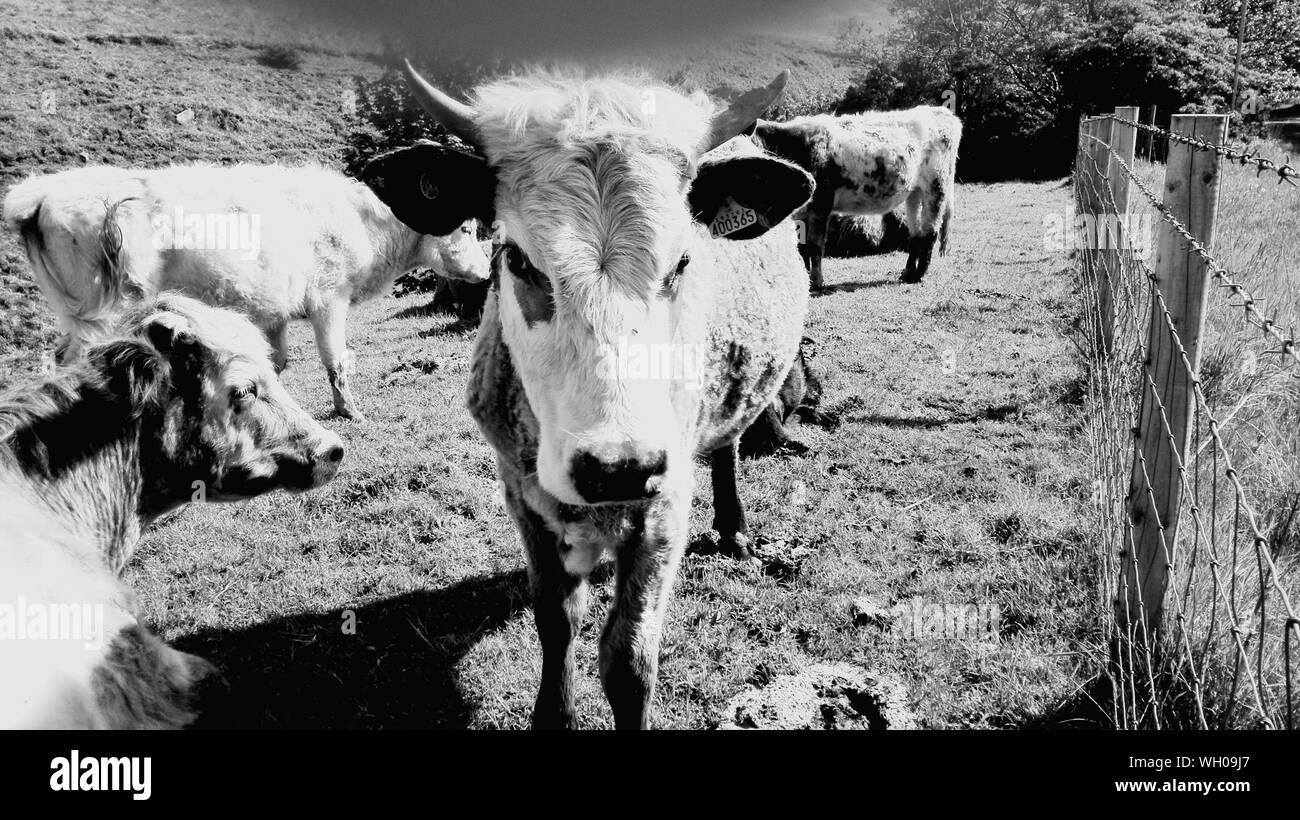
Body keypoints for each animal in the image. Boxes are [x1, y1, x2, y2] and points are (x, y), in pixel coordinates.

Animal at [2, 163, 491, 420]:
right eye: (467, 228)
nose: (487, 269)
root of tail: (42, 195)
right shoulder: (329, 301)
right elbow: (336, 362)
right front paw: (349, 411)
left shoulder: (273, 314)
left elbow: (275, 363)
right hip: (104, 311)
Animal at [361, 63, 814, 729]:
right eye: (517, 259)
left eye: (681, 262)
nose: (617, 467)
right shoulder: (522, 495)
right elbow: (557, 621)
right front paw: (554, 711)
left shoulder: (663, 506)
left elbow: (627, 660)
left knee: (728, 447)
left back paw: (733, 528)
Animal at [751, 106, 961, 288]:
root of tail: (941, 112)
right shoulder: (801, 212)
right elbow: (802, 248)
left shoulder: (821, 206)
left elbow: (815, 246)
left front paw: (816, 282)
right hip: (914, 192)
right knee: (916, 234)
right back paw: (908, 274)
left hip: (936, 187)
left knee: (931, 232)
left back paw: (919, 275)